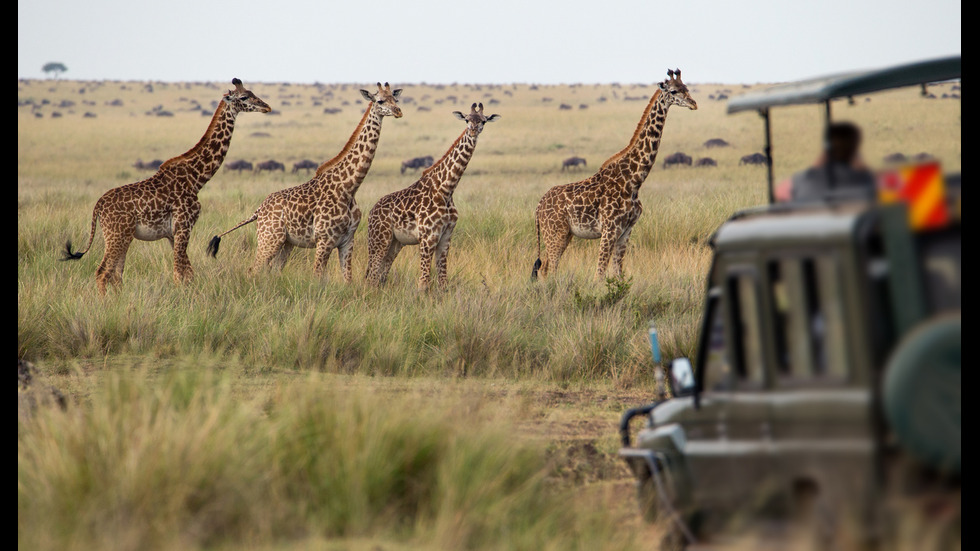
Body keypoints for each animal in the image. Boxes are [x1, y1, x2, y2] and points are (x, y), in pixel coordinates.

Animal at [62, 79, 270, 296]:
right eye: (244, 97)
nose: (267, 107)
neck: (196, 179)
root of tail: (98, 206)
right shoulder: (183, 226)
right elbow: (180, 273)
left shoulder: (173, 233)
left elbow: (188, 273)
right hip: (117, 235)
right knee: (103, 272)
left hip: (123, 236)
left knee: (116, 274)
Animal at [207, 83, 406, 282]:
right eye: (380, 100)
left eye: (395, 99)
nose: (398, 111)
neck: (349, 187)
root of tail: (259, 210)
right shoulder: (324, 240)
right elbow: (317, 276)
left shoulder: (348, 240)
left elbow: (347, 279)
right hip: (269, 238)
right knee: (254, 269)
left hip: (286, 242)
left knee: (274, 270)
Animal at [366, 104, 502, 294]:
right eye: (467, 119)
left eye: (483, 121)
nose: (473, 130)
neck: (446, 189)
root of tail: (372, 212)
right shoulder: (427, 237)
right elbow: (423, 284)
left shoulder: (446, 236)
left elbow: (443, 282)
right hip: (379, 239)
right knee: (372, 277)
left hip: (395, 243)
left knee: (381, 275)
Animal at [528, 70, 696, 280]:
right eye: (673, 91)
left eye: (687, 88)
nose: (693, 104)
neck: (634, 181)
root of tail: (538, 208)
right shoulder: (609, 229)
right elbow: (599, 274)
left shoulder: (626, 230)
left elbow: (618, 274)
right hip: (554, 233)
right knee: (548, 269)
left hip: (564, 234)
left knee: (547, 268)